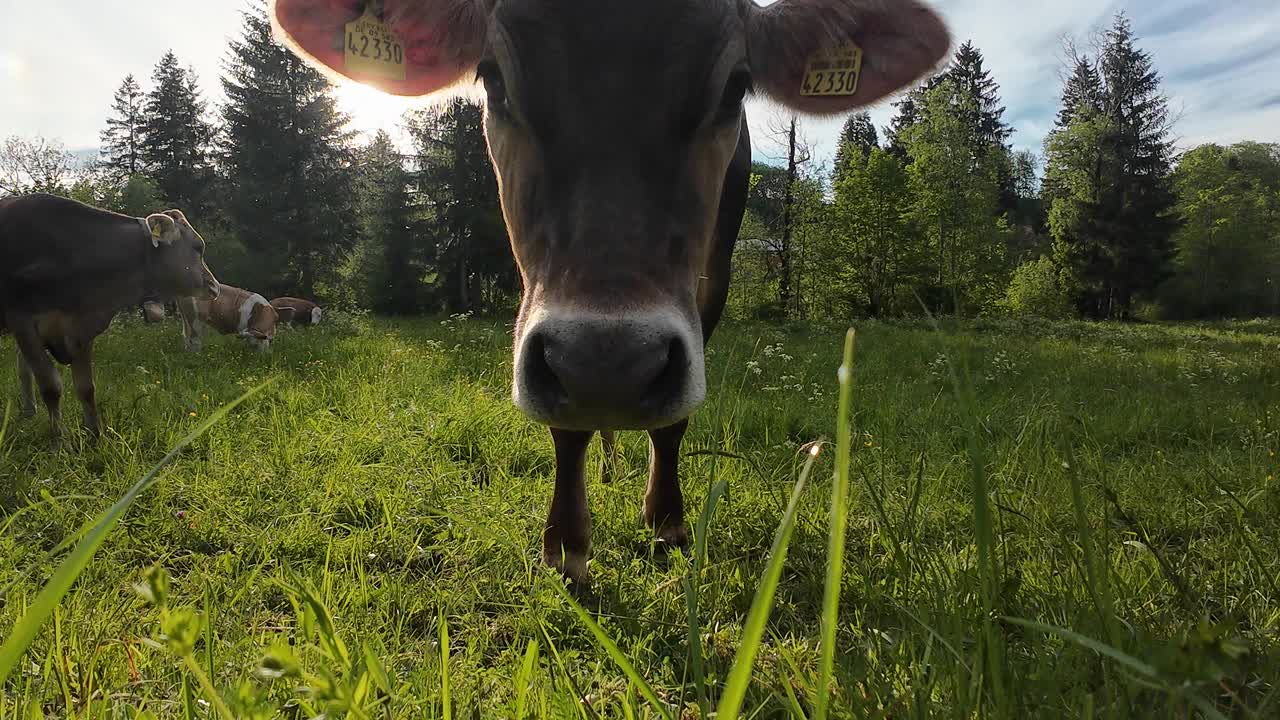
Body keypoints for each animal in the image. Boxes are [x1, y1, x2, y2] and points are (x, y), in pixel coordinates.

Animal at [1, 190, 220, 443]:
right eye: (198, 248)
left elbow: (86, 387)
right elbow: (51, 386)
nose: (215, 287)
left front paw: (96, 436)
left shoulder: (80, 326)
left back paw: (29, 411)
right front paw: (60, 441)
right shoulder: (23, 323)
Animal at [270, 0, 952, 584]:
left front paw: (667, 520)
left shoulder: (713, 278)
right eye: (493, 79)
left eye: (735, 87)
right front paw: (568, 545)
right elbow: (566, 426)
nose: (609, 365)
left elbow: (675, 418)